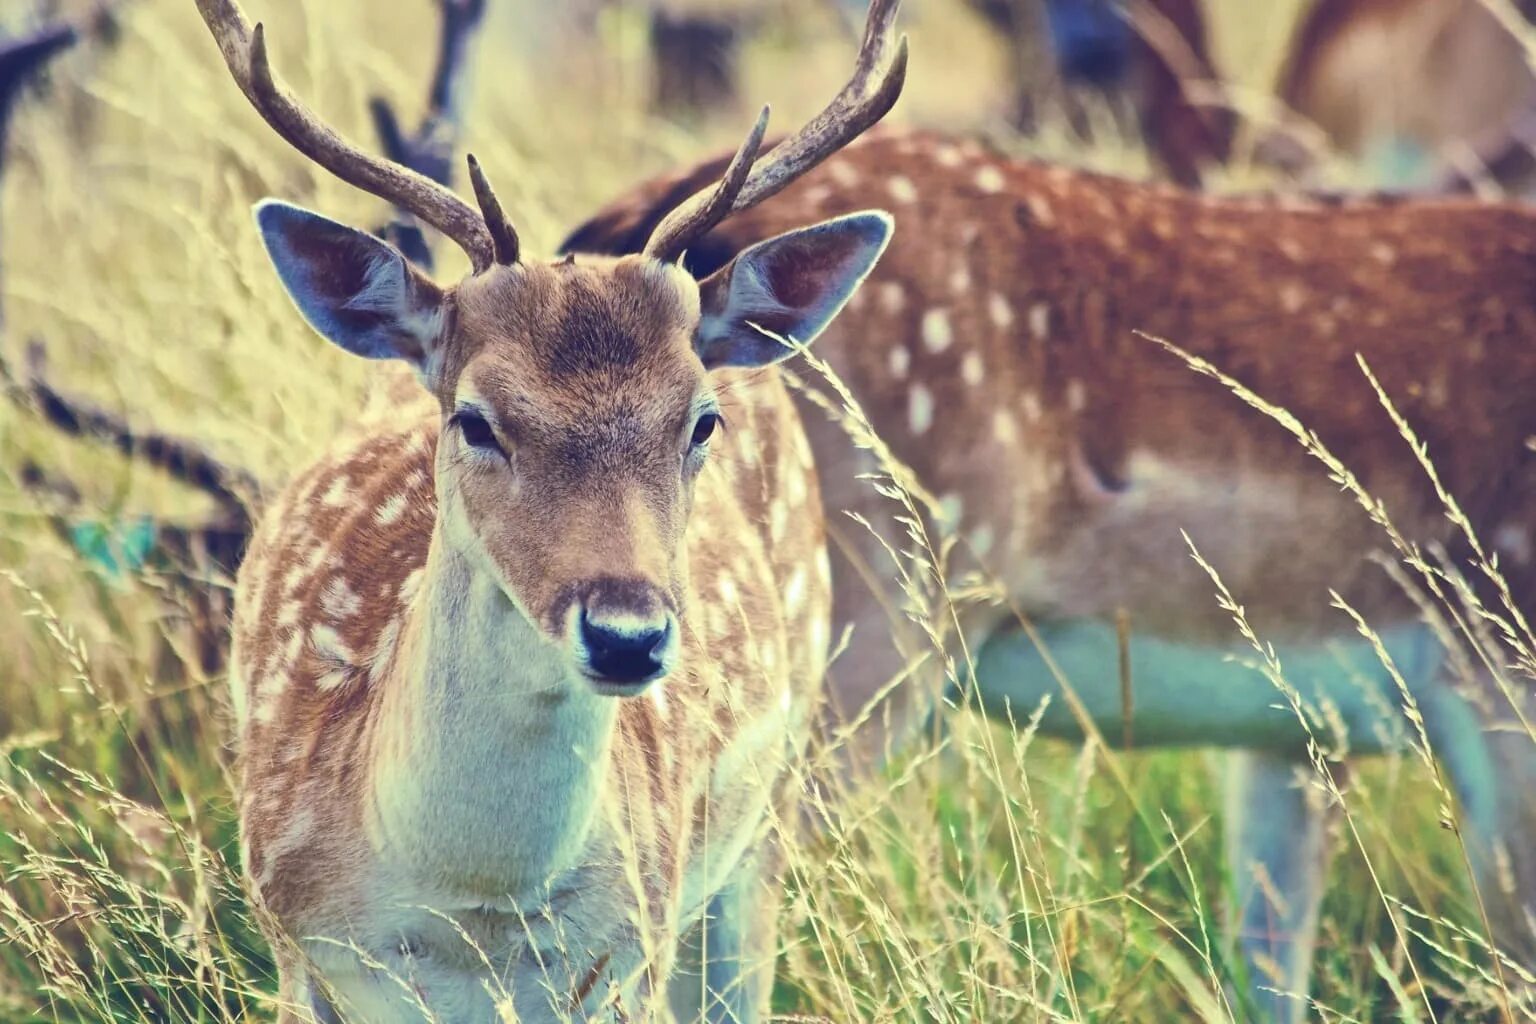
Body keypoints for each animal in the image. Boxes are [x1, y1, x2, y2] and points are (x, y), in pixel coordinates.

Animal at [198, 0, 903, 1019]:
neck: (473, 913)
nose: (627, 636)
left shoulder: (630, 953)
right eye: (475, 419)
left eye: (701, 419)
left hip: (766, 815)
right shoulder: (293, 943)